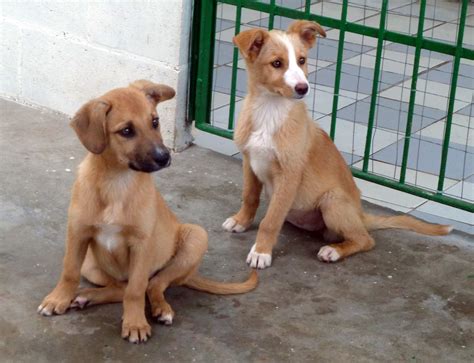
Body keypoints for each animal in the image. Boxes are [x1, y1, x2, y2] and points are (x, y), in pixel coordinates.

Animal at [38, 80, 258, 344]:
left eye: (155, 121)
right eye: (126, 131)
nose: (165, 158)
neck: (117, 182)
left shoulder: (141, 245)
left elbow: (135, 290)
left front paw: (135, 324)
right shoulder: (78, 234)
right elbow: (69, 271)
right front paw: (57, 299)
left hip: (195, 237)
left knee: (152, 285)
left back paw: (161, 309)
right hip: (90, 264)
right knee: (121, 287)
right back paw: (86, 296)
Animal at [223, 20, 452, 270]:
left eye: (302, 60)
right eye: (276, 63)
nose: (303, 88)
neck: (270, 110)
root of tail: (361, 216)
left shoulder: (289, 174)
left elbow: (271, 220)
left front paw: (261, 252)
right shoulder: (249, 161)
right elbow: (250, 197)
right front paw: (241, 221)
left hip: (332, 202)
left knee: (365, 239)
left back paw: (333, 251)